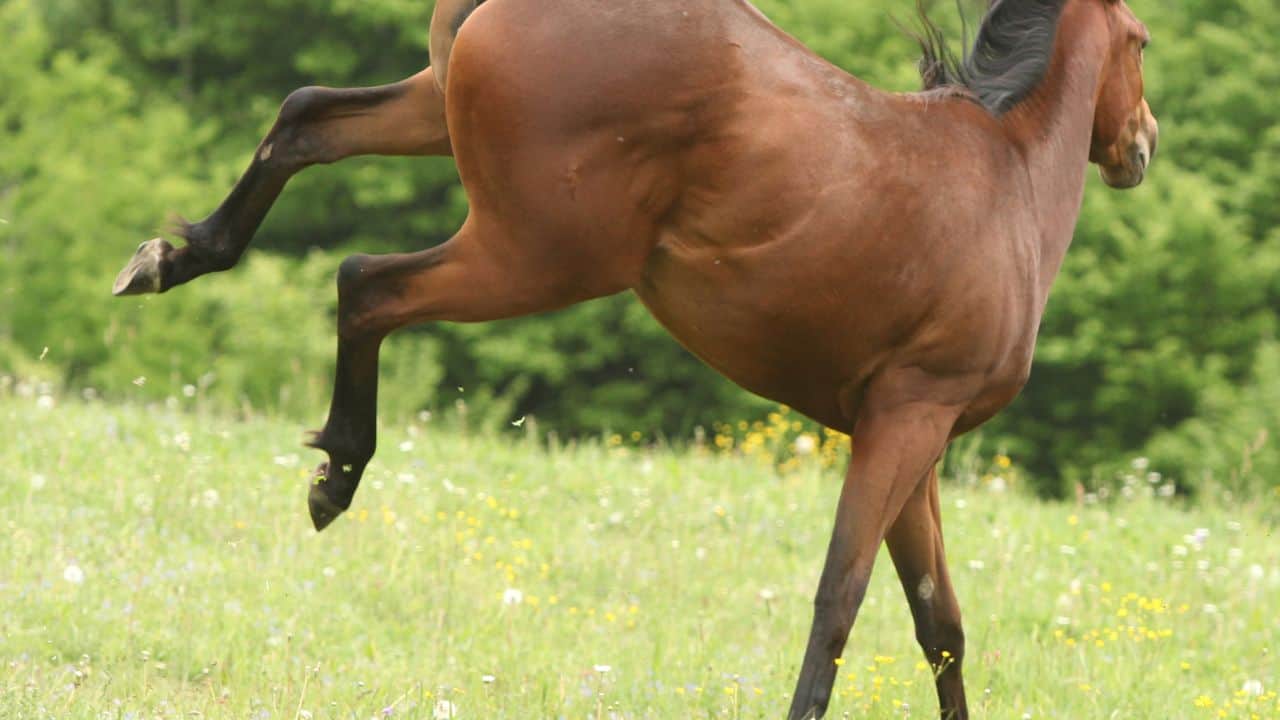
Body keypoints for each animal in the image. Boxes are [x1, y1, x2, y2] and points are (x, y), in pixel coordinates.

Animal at [112, 0, 1158, 717]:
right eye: (1142, 41)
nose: (1140, 145)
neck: (1004, 177)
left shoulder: (914, 436)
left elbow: (938, 622)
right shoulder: (906, 422)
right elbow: (841, 599)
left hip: (438, 121)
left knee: (307, 119)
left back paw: (173, 257)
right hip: (535, 257)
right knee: (366, 283)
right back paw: (337, 473)